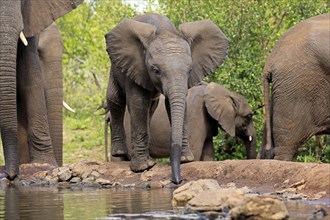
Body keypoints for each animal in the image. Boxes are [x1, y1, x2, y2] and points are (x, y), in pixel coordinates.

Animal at [104, 12, 228, 183]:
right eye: (156, 71)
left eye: (190, 70)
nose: (178, 180)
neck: (164, 31)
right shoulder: (136, 66)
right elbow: (138, 103)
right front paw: (143, 167)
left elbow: (175, 103)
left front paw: (186, 160)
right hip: (115, 66)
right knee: (115, 100)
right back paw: (120, 152)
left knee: (151, 107)